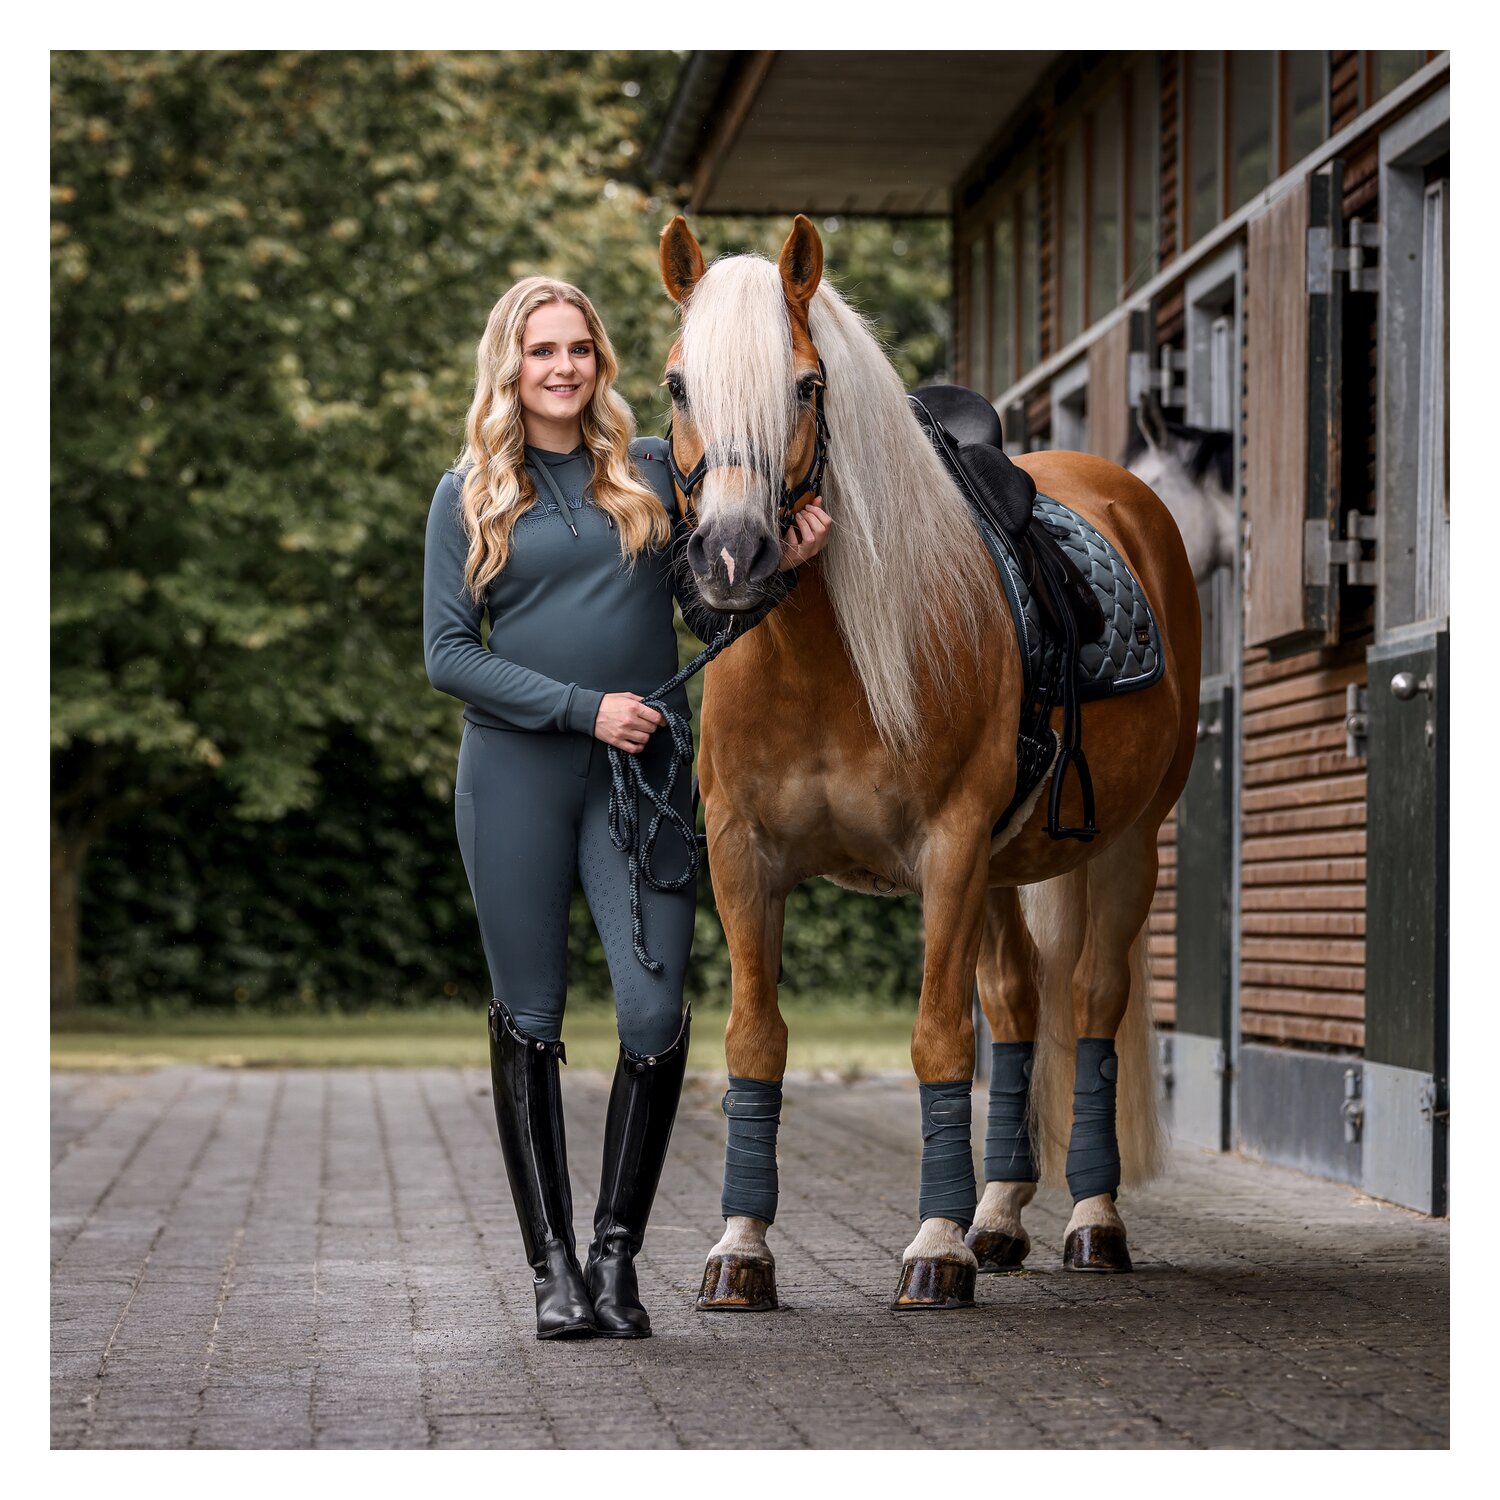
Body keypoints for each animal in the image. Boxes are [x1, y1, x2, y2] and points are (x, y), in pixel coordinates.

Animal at [658, 214, 1201, 1310]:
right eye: (677, 384)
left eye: (807, 386)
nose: (733, 557)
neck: (822, 659)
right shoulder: (743, 856)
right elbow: (755, 1038)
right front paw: (742, 1248)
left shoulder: (947, 853)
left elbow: (940, 1038)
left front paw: (937, 1248)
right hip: (1004, 869)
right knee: (1020, 1000)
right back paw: (1000, 1215)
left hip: (1124, 847)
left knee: (1092, 1004)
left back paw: (1092, 1220)